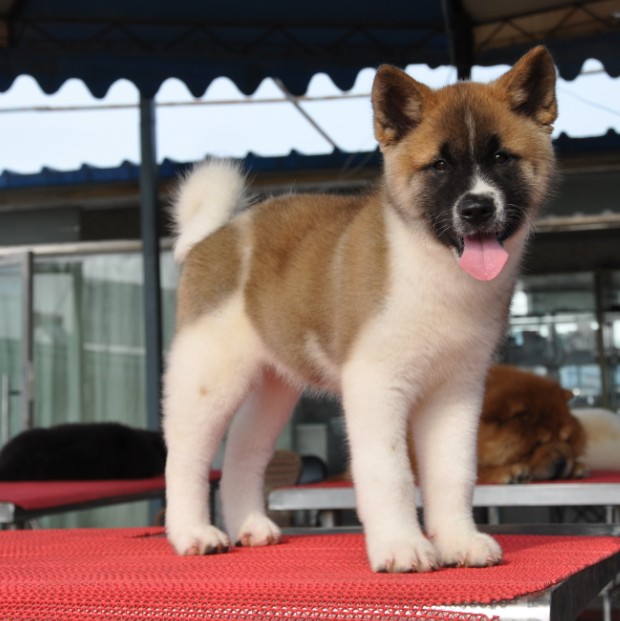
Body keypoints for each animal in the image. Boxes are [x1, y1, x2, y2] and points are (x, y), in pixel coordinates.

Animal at [163, 47, 556, 572]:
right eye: (439, 165)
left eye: (501, 158)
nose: (476, 208)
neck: (431, 266)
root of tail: (215, 234)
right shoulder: (376, 386)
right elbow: (390, 472)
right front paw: (402, 546)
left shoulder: (456, 392)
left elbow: (453, 473)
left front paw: (459, 540)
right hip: (208, 381)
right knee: (185, 456)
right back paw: (192, 533)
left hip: (272, 385)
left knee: (245, 451)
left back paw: (250, 526)